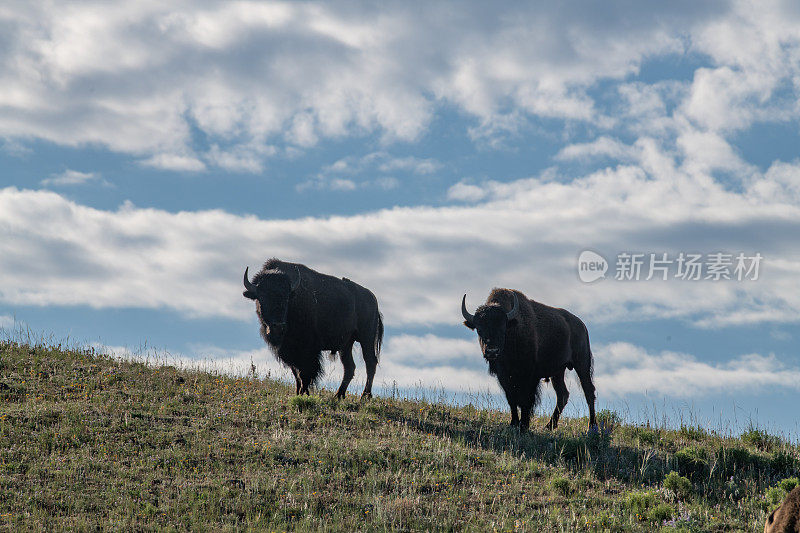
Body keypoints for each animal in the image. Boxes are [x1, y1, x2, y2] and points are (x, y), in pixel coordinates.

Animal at [242, 256, 382, 396]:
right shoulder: (290, 351)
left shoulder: (309, 350)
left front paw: (304, 393)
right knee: (349, 367)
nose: (278, 327)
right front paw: (298, 392)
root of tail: (373, 299)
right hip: (346, 344)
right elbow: (297, 373)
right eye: (262, 298)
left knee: (370, 363)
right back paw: (338, 395)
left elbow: (306, 373)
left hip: (366, 339)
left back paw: (365, 396)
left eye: (286, 298)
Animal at [460, 288, 596, 430]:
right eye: (479, 329)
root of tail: (582, 325)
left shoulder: (531, 376)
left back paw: (591, 427)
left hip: (582, 365)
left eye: (503, 328)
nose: (492, 351)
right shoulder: (504, 377)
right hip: (558, 372)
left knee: (589, 392)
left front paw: (524, 425)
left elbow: (526, 400)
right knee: (562, 394)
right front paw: (514, 423)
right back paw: (549, 426)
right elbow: (512, 399)